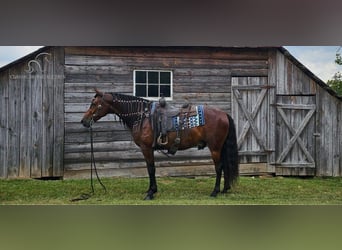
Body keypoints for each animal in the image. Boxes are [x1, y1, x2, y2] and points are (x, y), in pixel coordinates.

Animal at [81, 89, 239, 200]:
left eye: (94, 104)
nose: (84, 121)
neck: (141, 116)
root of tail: (224, 114)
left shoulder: (146, 148)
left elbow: (151, 169)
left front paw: (151, 192)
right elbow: (150, 169)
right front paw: (150, 190)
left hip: (215, 147)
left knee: (219, 167)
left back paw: (215, 191)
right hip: (220, 147)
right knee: (225, 165)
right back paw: (225, 189)